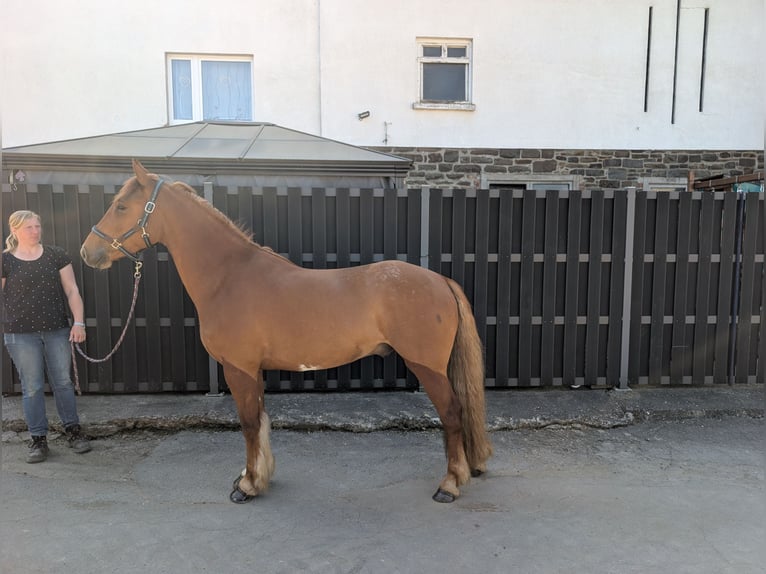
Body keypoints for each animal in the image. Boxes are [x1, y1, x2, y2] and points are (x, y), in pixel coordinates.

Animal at [80, 160, 493, 504]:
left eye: (121, 206)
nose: (88, 252)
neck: (228, 277)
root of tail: (440, 280)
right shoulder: (254, 370)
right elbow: (262, 420)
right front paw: (259, 476)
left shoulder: (239, 368)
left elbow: (249, 423)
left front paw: (247, 486)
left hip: (428, 368)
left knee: (452, 414)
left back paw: (449, 484)